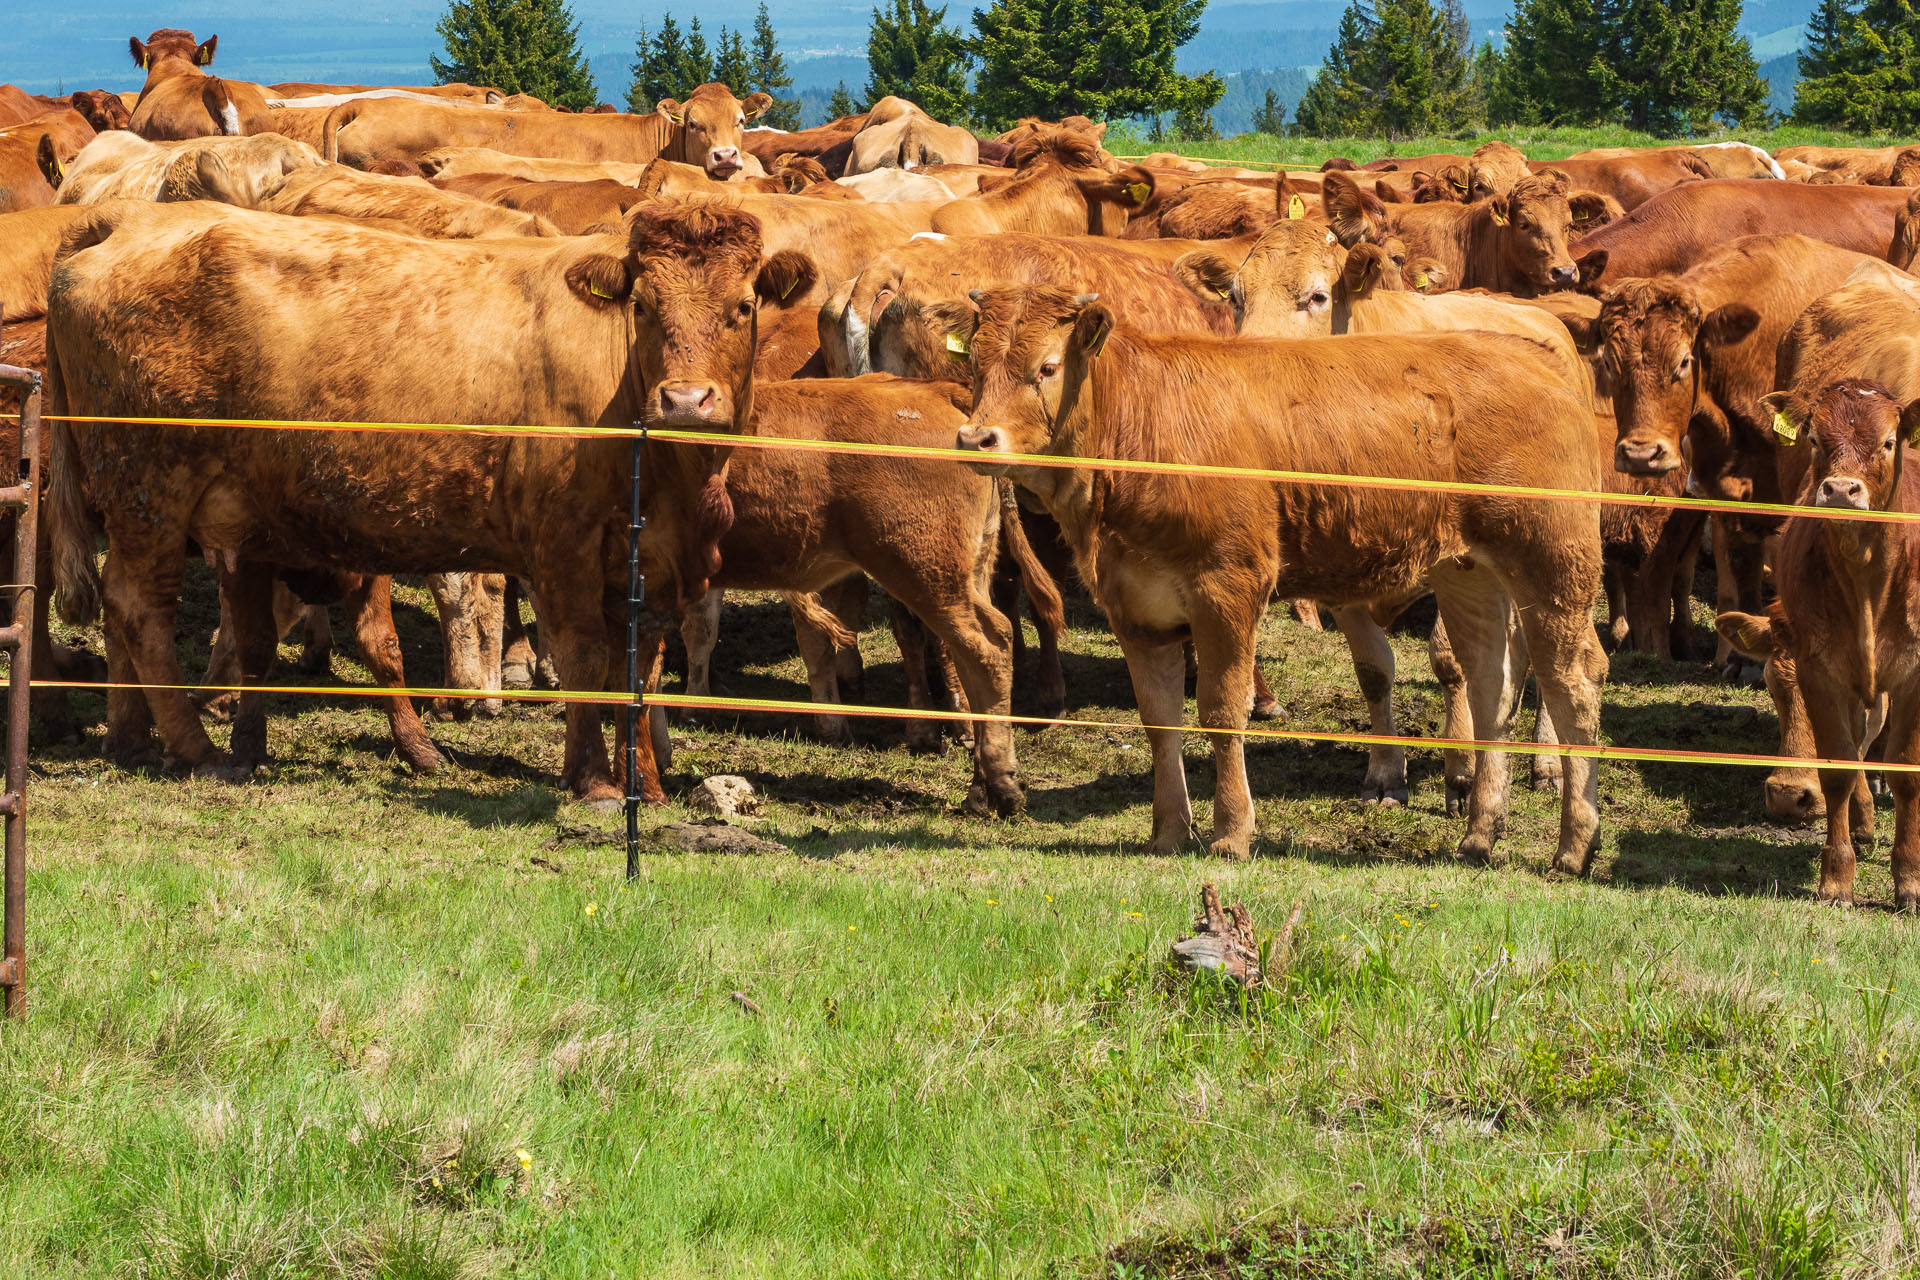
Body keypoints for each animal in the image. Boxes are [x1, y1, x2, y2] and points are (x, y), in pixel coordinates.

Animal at [45, 196, 810, 802]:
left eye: (744, 308)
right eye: (644, 307)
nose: (686, 400)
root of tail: (125, 218)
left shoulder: (654, 561)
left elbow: (639, 669)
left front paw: (644, 783)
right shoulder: (562, 543)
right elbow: (586, 657)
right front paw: (593, 780)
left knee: (121, 610)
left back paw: (131, 738)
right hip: (150, 485)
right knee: (139, 607)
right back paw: (193, 748)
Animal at [1720, 379, 1920, 909]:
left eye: (1888, 441)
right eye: (1813, 439)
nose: (1841, 490)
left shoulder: (1913, 674)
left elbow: (1906, 771)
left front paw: (1909, 879)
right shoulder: (1821, 671)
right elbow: (1838, 769)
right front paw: (1837, 879)